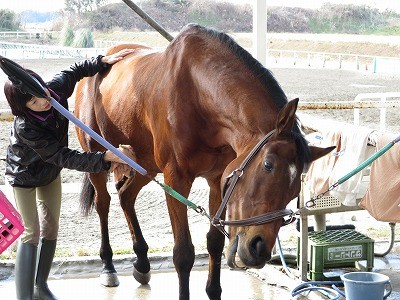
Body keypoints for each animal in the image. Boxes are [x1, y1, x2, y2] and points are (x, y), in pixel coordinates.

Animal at [75, 24, 334, 300]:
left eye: (295, 190)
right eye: (267, 165)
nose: (259, 249)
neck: (198, 93)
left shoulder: (218, 179)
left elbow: (215, 243)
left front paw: (213, 289)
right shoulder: (176, 180)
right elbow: (183, 253)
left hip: (143, 163)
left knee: (126, 196)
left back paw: (142, 262)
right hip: (99, 156)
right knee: (103, 203)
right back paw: (108, 265)